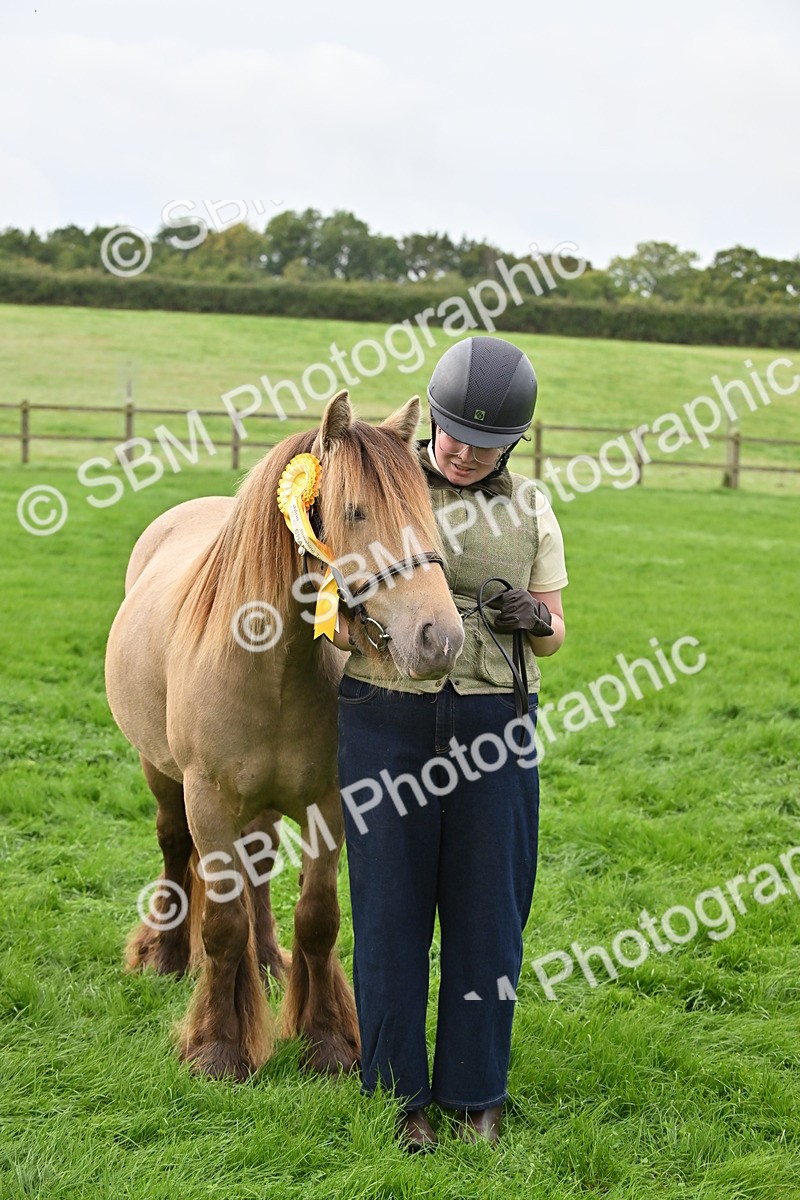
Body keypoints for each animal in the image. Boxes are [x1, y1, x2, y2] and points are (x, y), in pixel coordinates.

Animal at [105, 390, 465, 1081]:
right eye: (354, 511)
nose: (440, 638)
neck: (266, 667)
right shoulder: (207, 803)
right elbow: (221, 926)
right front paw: (219, 1046)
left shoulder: (330, 802)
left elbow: (317, 917)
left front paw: (326, 1038)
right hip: (158, 773)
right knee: (174, 848)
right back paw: (166, 955)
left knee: (261, 869)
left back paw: (270, 960)